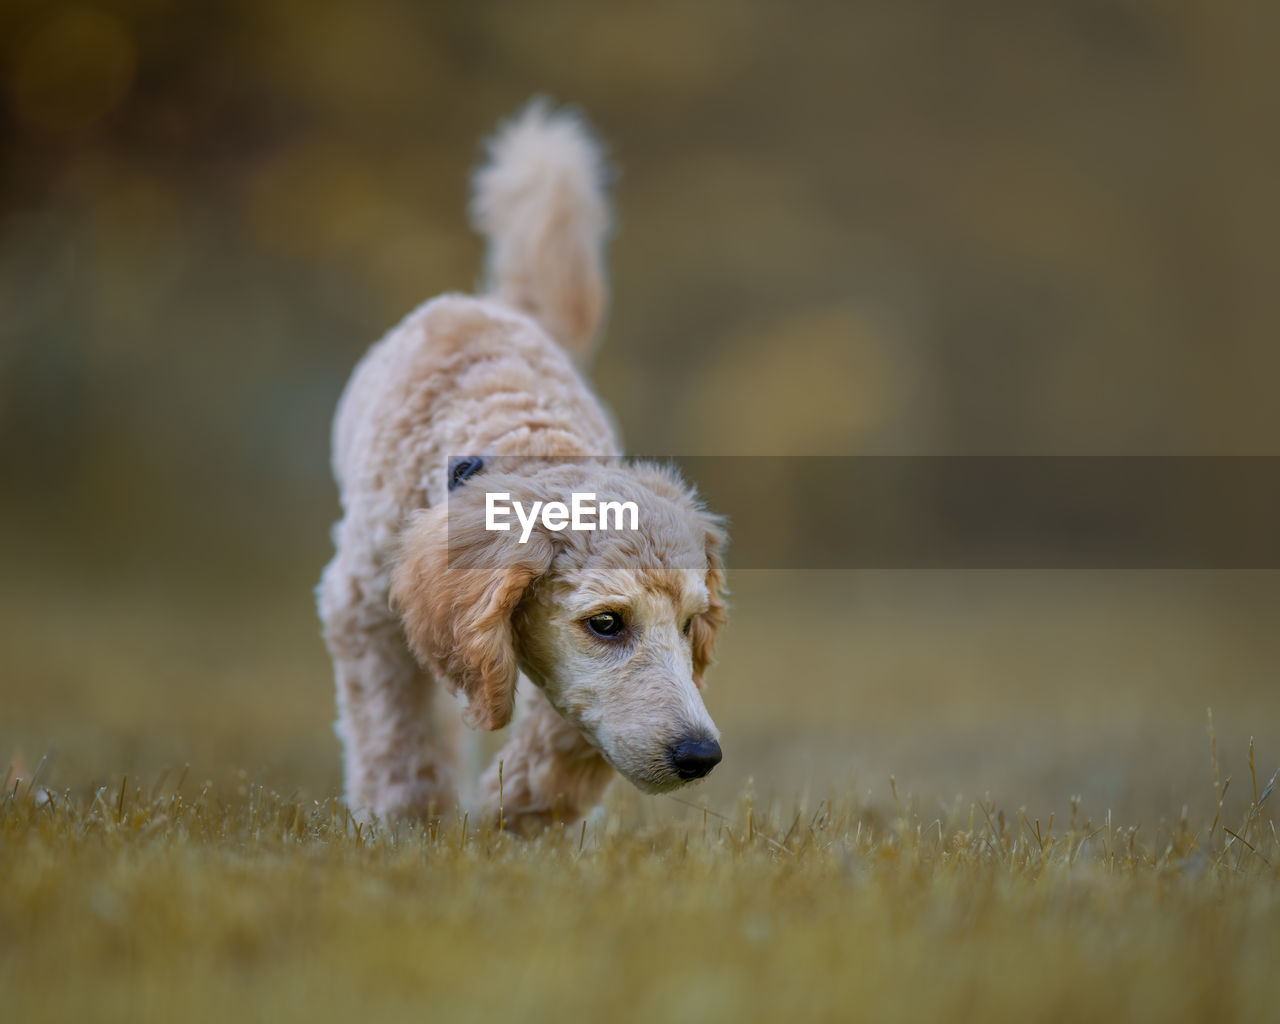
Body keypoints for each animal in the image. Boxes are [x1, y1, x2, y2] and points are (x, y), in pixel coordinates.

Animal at [314, 99, 727, 829]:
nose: (699, 755)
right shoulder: (363, 607)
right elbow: (396, 733)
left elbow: (569, 730)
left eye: (688, 625)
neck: (522, 433)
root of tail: (505, 305)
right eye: (606, 623)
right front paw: (407, 824)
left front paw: (531, 820)